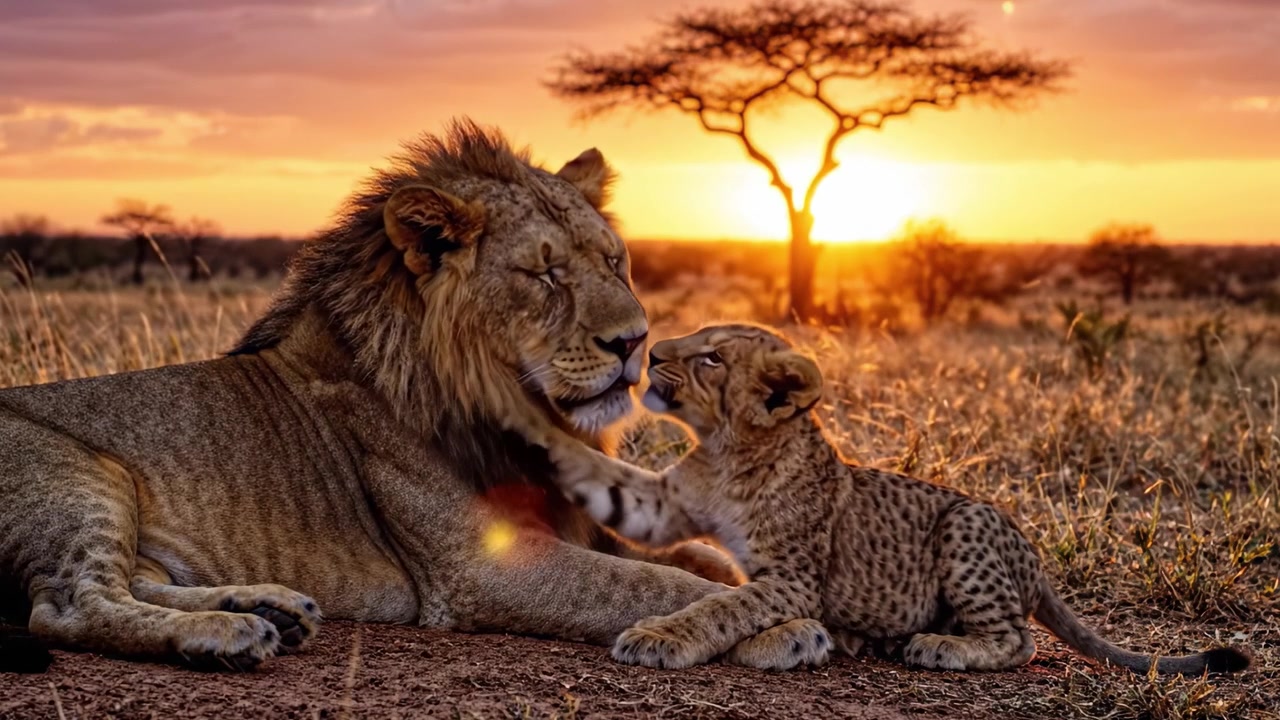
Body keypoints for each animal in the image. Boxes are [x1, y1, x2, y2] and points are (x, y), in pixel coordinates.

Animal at [0, 119, 808, 671]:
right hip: (81, 476)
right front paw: (786, 625)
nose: (636, 342)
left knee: (130, 583)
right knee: (70, 606)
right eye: (544, 275)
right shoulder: (479, 569)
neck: (519, 417)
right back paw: (226, 634)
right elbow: (651, 584)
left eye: (614, 262)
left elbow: (706, 560)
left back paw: (272, 610)